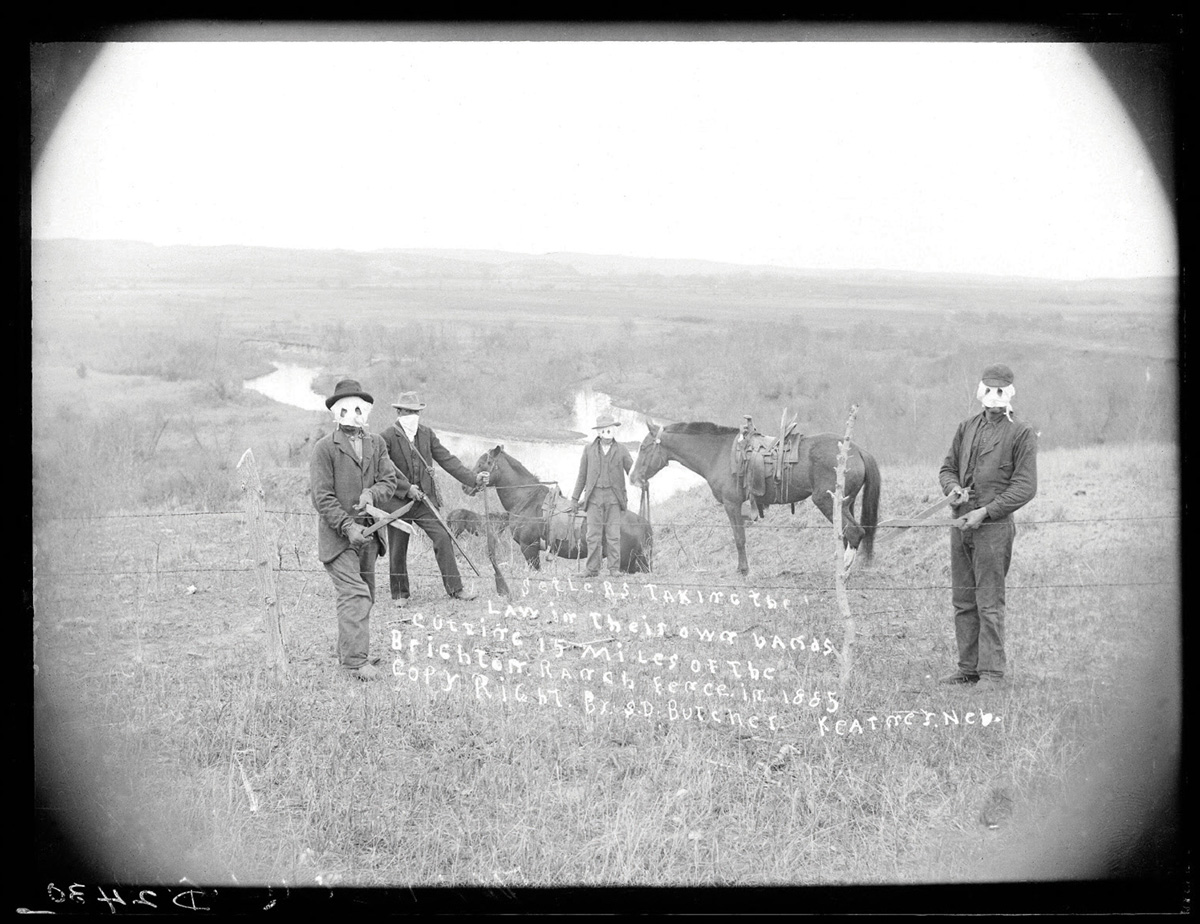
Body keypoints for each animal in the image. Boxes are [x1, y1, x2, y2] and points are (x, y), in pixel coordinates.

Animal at [628, 420, 883, 576]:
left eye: (643, 447)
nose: (633, 478)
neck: (718, 453)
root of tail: (857, 450)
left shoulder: (731, 504)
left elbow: (739, 538)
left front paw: (743, 570)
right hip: (845, 504)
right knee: (849, 533)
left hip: (827, 501)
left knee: (854, 532)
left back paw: (844, 571)